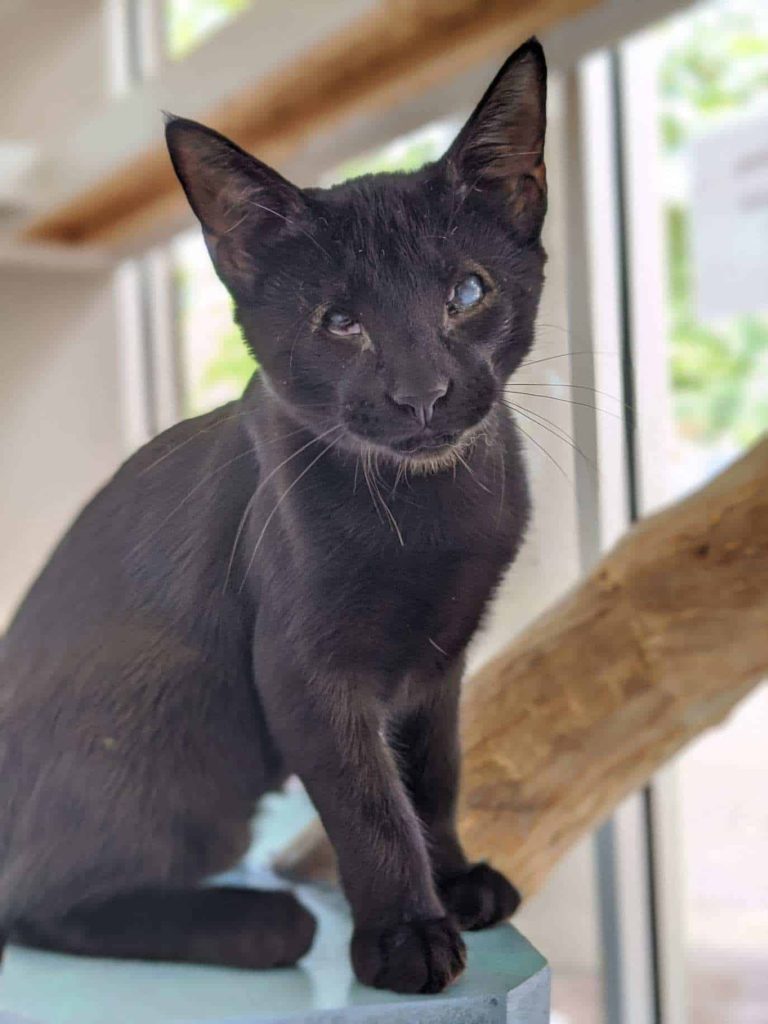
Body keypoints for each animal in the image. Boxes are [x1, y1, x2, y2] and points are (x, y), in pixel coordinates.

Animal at [0, 38, 547, 995]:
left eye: (467, 294)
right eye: (341, 322)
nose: (421, 393)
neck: (425, 511)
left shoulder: (439, 660)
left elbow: (432, 774)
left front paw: (454, 878)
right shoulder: (301, 669)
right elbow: (369, 802)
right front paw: (406, 933)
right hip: (176, 691)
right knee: (30, 899)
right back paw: (258, 924)